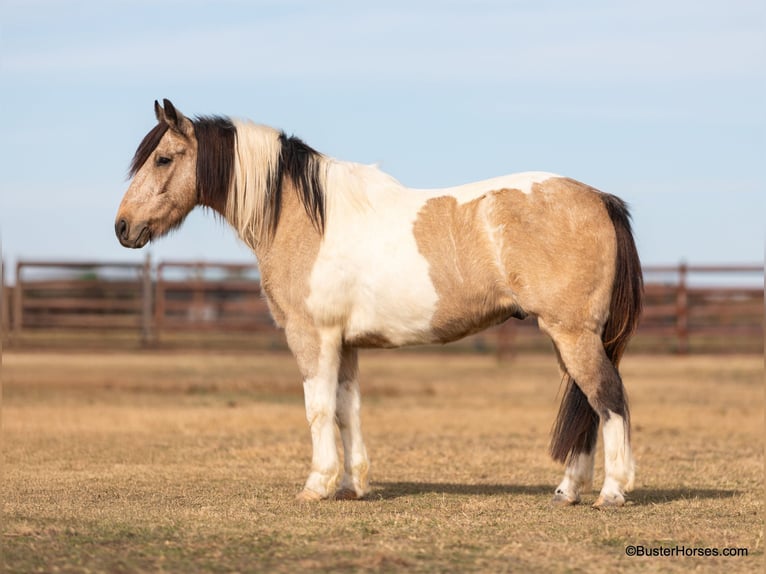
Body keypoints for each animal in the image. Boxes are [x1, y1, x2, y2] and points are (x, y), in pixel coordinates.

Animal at [115, 100, 643, 508]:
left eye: (163, 159)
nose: (122, 227)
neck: (307, 218)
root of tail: (601, 199)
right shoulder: (346, 344)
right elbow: (347, 410)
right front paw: (352, 485)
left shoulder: (313, 338)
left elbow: (317, 408)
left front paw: (318, 485)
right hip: (567, 337)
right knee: (587, 407)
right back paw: (567, 491)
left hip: (572, 334)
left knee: (608, 399)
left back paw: (613, 491)